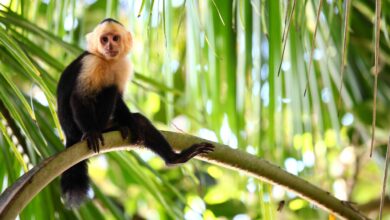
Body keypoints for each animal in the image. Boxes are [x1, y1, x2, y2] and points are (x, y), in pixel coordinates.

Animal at [57, 18, 213, 208]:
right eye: (104, 39)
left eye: (115, 38)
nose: (109, 46)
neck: (108, 62)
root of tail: (69, 137)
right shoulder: (91, 63)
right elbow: (80, 97)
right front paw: (91, 132)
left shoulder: (123, 65)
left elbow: (120, 100)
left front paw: (130, 123)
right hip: (77, 129)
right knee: (108, 89)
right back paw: (98, 130)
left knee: (137, 118)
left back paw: (173, 157)